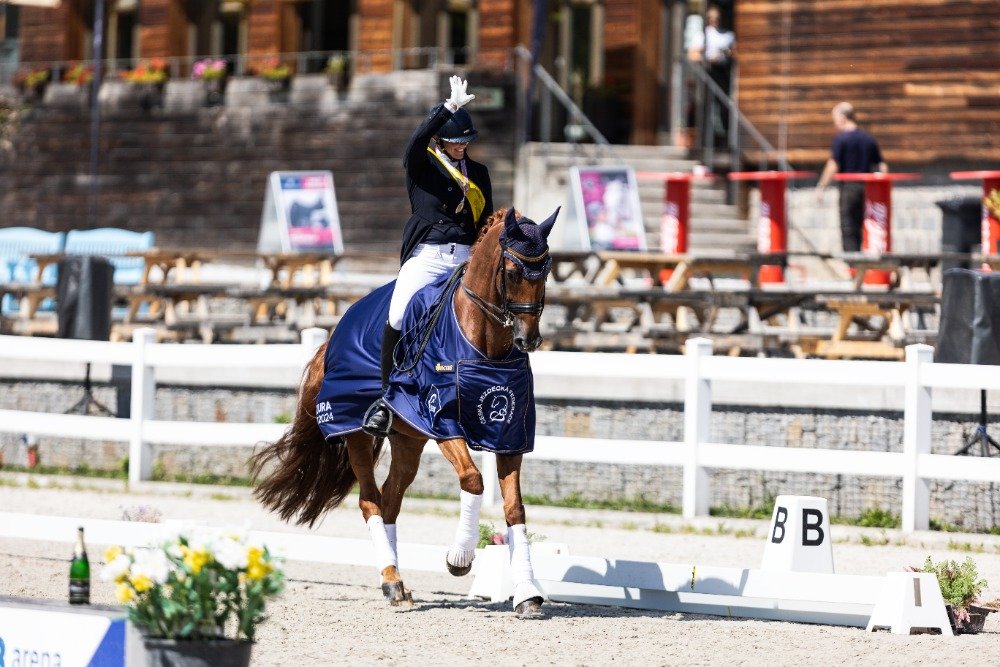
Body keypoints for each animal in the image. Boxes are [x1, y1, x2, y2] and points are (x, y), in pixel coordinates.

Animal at [250, 207, 560, 620]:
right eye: (511, 272)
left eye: (546, 270)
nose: (529, 339)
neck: (482, 341)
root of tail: (333, 337)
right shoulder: (441, 422)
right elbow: (474, 480)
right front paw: (459, 558)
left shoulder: (509, 430)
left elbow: (515, 509)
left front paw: (527, 593)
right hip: (356, 434)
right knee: (370, 500)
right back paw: (391, 581)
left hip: (408, 440)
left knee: (389, 501)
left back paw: (396, 582)